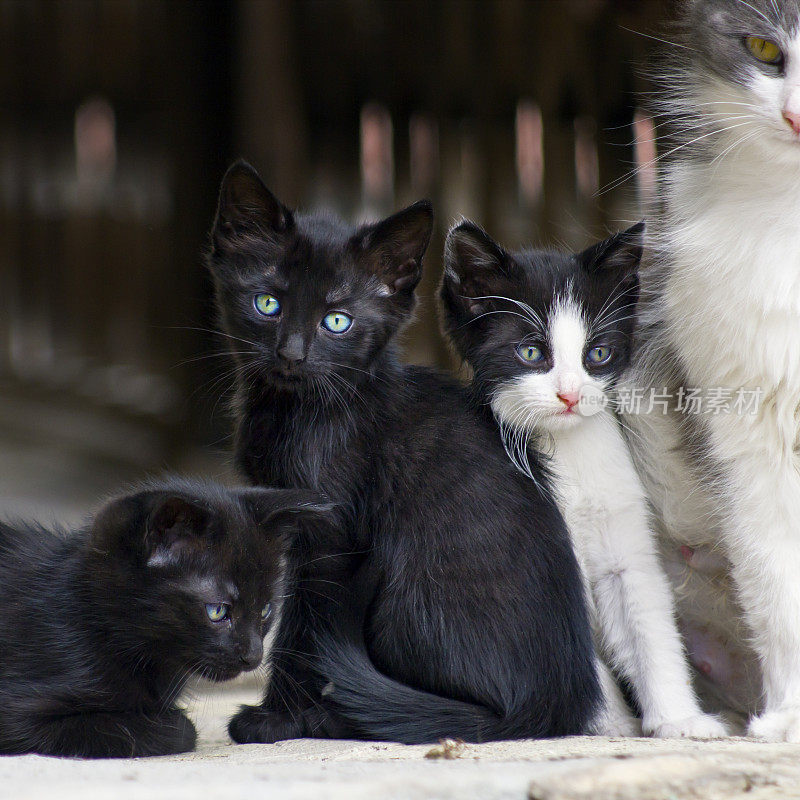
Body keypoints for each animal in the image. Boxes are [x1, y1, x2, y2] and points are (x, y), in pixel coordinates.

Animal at [206, 161, 600, 744]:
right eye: (267, 304)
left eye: (337, 321)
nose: (291, 354)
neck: (305, 410)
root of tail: (549, 709)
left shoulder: (331, 536)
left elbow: (302, 630)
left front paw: (275, 719)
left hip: (403, 597)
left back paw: (343, 716)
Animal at [438, 222, 724, 740]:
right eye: (531, 352)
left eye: (598, 354)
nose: (570, 396)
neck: (568, 454)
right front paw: (607, 722)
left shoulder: (623, 540)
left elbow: (648, 623)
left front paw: (679, 719)